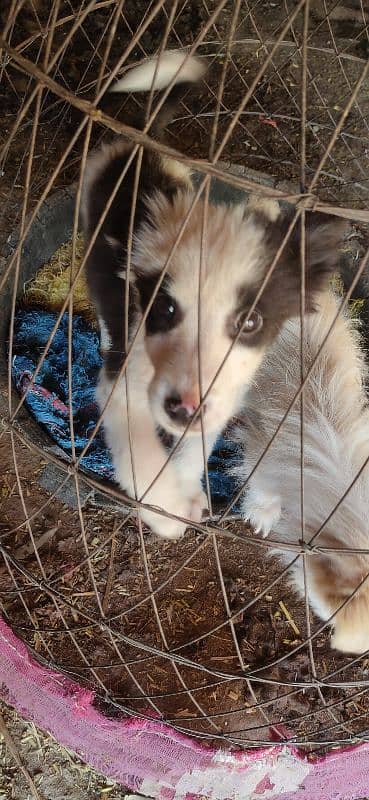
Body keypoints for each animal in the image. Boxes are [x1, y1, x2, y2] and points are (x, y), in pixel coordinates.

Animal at [80, 48, 344, 536]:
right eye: (165, 308)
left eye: (250, 321)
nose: (184, 410)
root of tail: (143, 141)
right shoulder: (123, 387)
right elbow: (142, 457)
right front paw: (166, 507)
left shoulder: (229, 388)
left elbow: (200, 440)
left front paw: (185, 484)